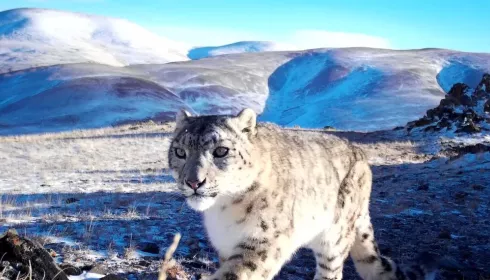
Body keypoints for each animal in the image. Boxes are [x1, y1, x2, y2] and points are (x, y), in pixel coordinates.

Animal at [168, 108, 436, 278]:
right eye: (180, 152)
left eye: (221, 151)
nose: (194, 182)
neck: (222, 211)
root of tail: (359, 153)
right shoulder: (225, 247)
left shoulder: (263, 240)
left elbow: (237, 274)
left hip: (335, 237)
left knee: (331, 272)